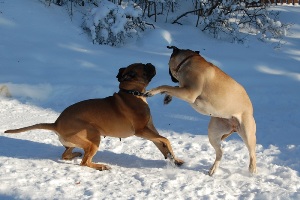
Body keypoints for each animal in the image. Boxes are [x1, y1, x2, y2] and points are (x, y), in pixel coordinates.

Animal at [4, 63, 183, 170]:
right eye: (144, 68)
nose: (151, 64)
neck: (131, 93)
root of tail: (56, 123)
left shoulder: (150, 130)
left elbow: (162, 143)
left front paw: (174, 159)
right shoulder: (142, 131)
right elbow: (166, 139)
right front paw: (172, 156)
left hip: (74, 142)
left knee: (66, 154)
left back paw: (75, 155)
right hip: (94, 137)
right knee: (85, 162)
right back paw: (100, 166)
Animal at [145, 46, 255, 175]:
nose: (171, 76)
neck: (188, 61)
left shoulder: (188, 93)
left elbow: (166, 86)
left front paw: (153, 91)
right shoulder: (183, 89)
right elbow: (172, 88)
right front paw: (167, 97)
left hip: (247, 133)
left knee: (252, 153)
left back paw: (252, 169)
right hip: (213, 133)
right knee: (220, 152)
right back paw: (213, 169)